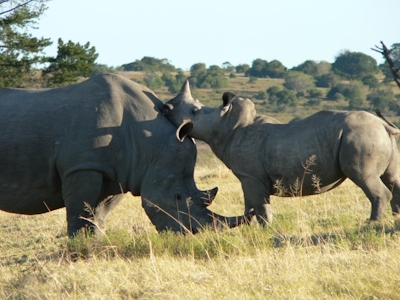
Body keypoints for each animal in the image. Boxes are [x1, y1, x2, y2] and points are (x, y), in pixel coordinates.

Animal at [0, 74, 250, 237]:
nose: (194, 234)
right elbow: (79, 212)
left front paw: (95, 245)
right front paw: (77, 251)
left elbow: (97, 215)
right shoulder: (83, 165)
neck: (151, 144)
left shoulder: (120, 171)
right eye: (177, 197)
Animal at [161, 81, 400, 223]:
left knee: (364, 177)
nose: (166, 106)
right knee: (392, 178)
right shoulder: (249, 177)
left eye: (194, 111)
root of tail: (384, 125)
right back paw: (394, 220)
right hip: (377, 137)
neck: (222, 124)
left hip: (361, 136)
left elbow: (260, 206)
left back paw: (372, 224)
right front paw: (249, 227)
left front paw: (265, 229)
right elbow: (250, 205)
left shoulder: (251, 176)